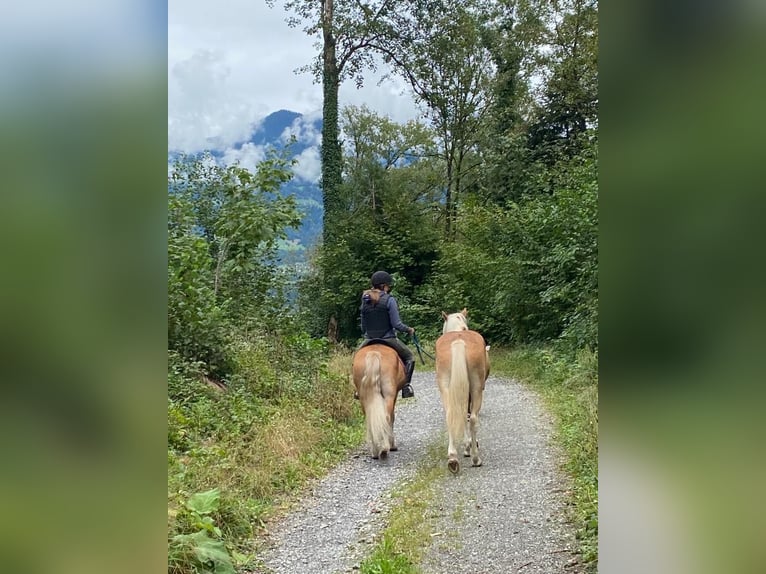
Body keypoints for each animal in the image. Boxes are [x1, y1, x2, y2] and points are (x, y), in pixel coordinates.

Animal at [436, 310, 488, 476]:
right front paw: (468, 446)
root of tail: (458, 340)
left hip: (445, 388)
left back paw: (453, 459)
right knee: (473, 419)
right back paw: (476, 459)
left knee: (451, 416)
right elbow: (467, 416)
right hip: (477, 389)